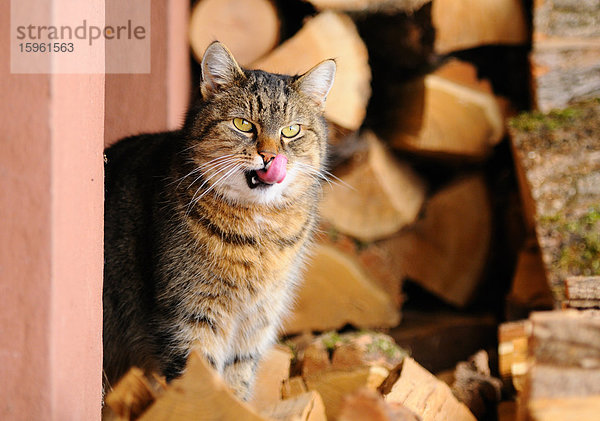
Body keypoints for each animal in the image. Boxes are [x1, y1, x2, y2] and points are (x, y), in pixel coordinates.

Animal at [104, 42, 338, 400]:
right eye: (242, 124)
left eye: (291, 130)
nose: (270, 156)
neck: (257, 230)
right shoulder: (192, 314)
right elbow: (199, 378)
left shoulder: (259, 319)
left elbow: (237, 376)